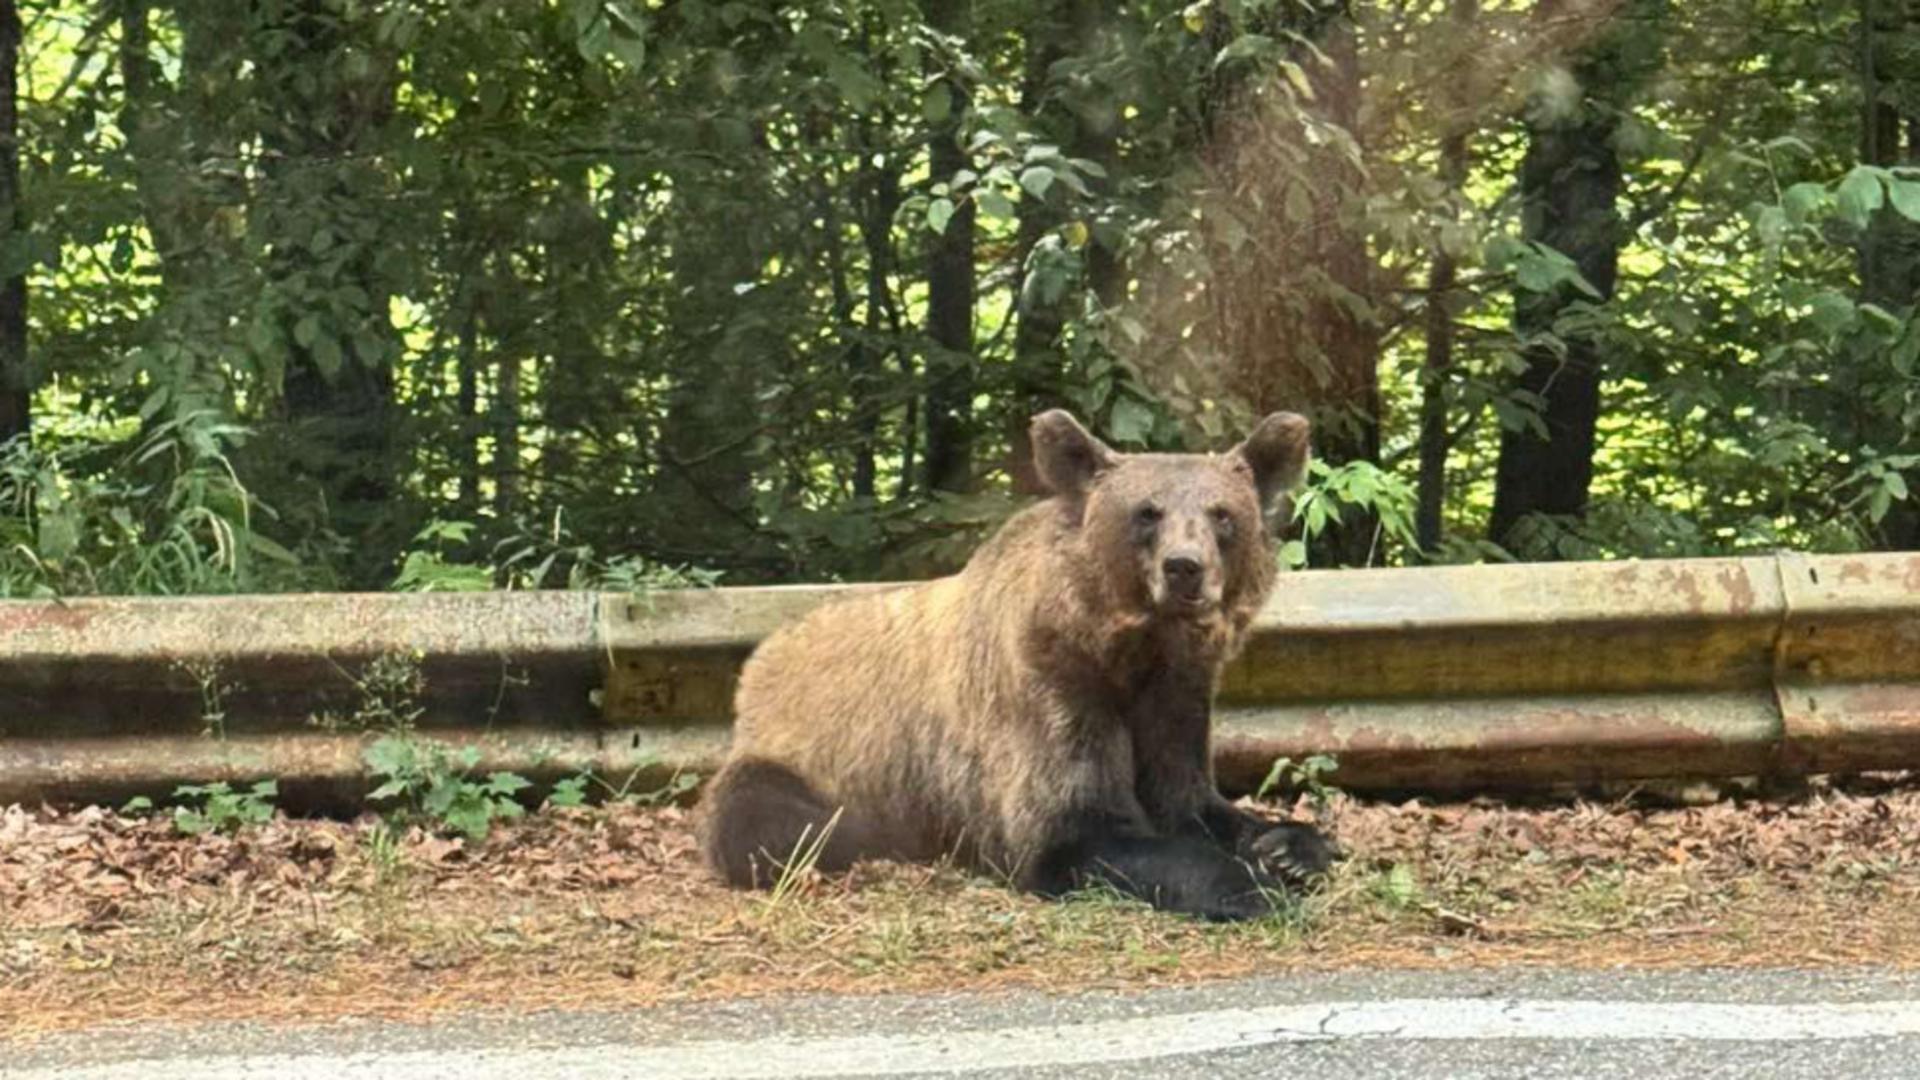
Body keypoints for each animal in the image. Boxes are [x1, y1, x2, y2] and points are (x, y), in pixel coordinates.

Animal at [698, 407, 1344, 910]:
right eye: (1147, 511)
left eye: (1222, 514)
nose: (1185, 568)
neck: (1125, 648)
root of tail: (762, 657)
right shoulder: (1049, 689)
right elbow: (1071, 829)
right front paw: (1251, 884)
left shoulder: (1174, 695)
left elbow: (1190, 797)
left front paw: (1290, 849)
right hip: (800, 752)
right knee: (774, 822)